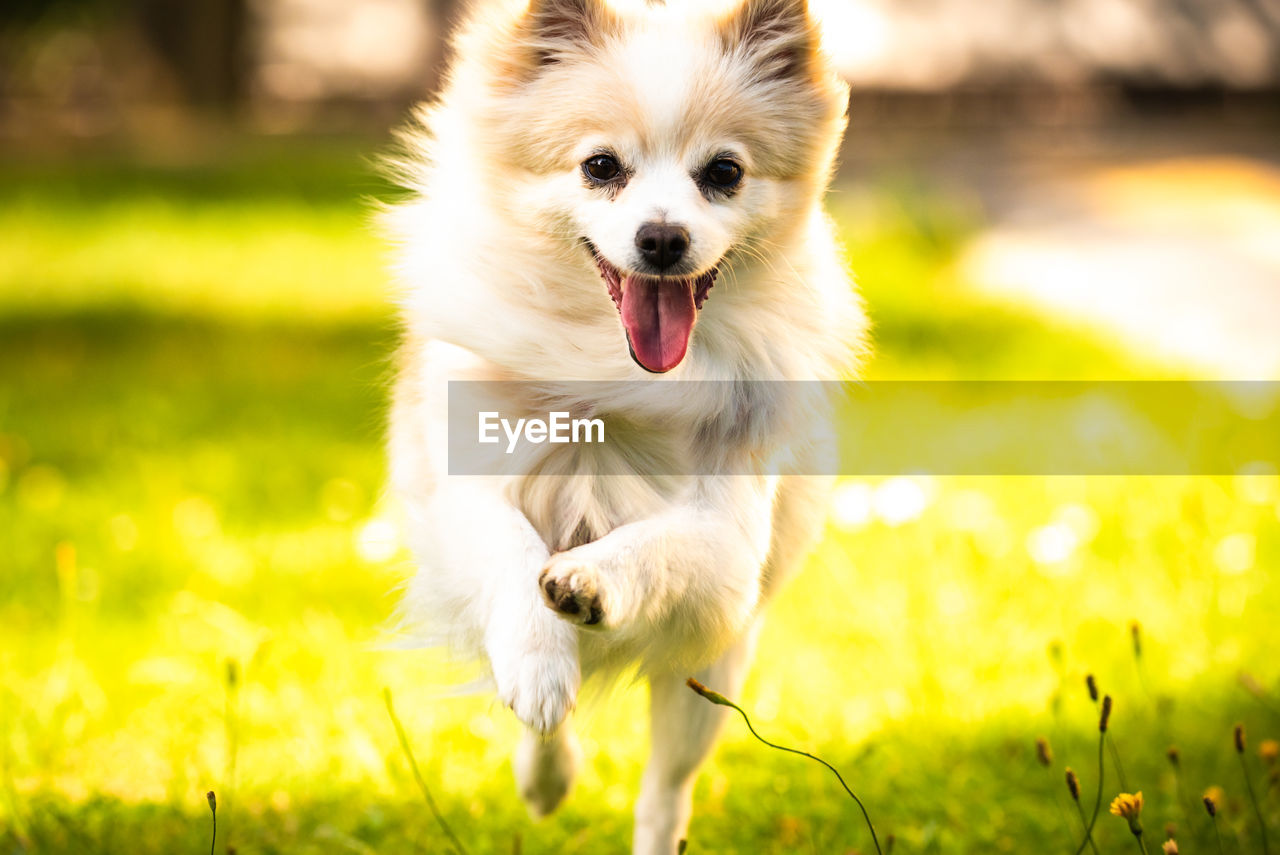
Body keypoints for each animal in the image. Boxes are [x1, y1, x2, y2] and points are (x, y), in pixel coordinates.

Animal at [384, 0, 865, 849]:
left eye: (724, 173)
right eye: (601, 167)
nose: (663, 238)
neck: (616, 367)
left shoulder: (728, 545)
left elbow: (655, 546)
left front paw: (591, 577)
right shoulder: (463, 491)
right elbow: (511, 551)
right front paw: (539, 661)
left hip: (709, 677)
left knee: (665, 791)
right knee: (547, 717)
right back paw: (544, 762)